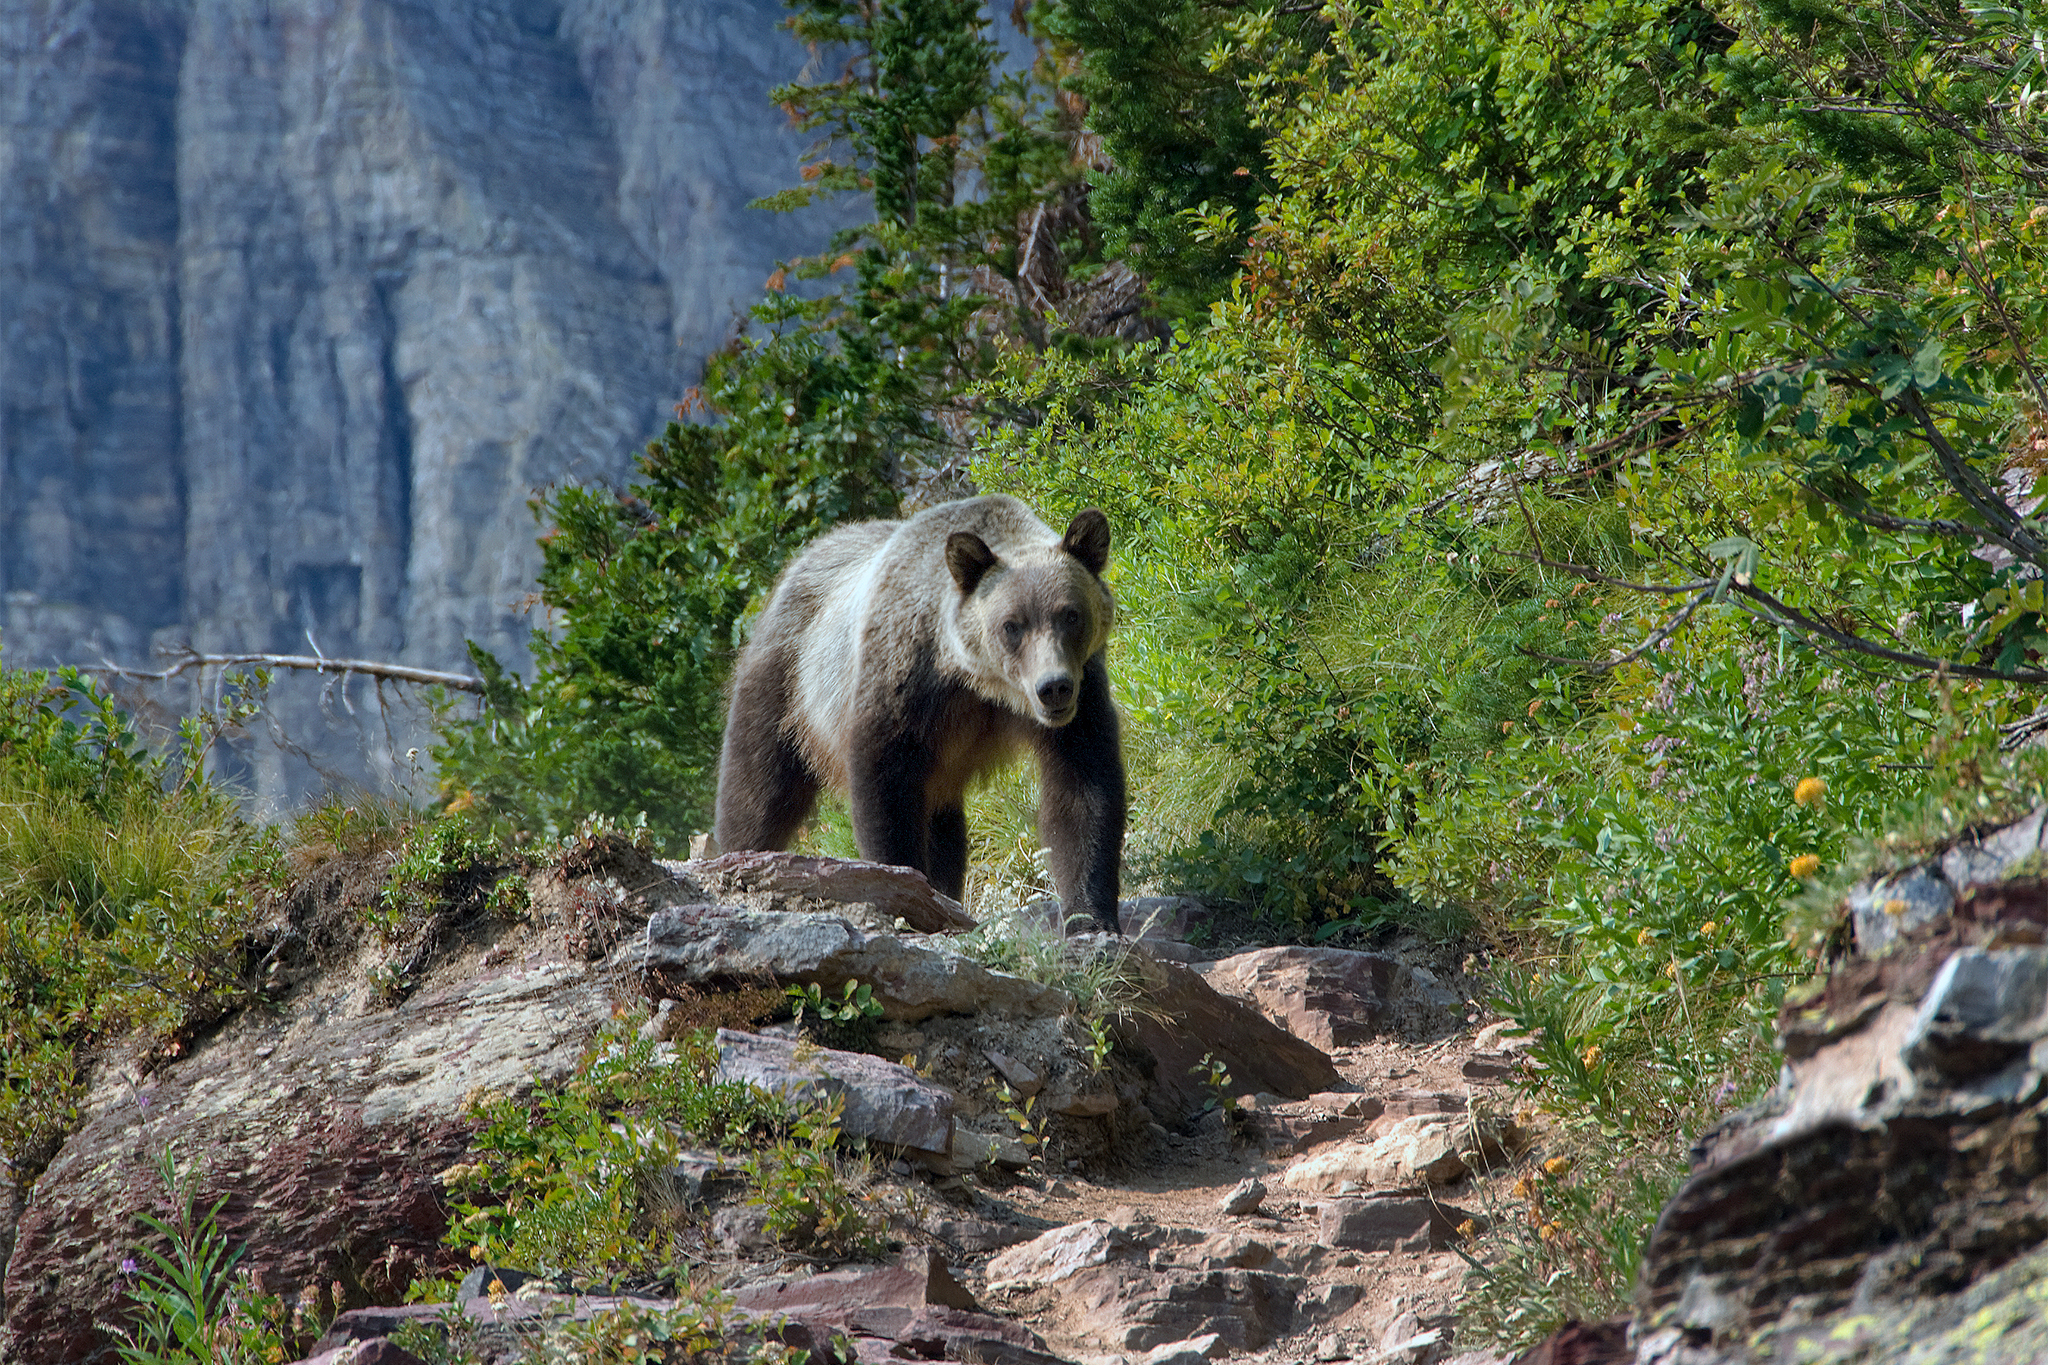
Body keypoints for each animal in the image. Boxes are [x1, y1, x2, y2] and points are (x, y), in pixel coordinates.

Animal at [713, 494, 1126, 931]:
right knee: (758, 783)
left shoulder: (1081, 697)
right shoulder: (901, 682)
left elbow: (1083, 788)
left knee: (944, 827)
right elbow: (885, 788)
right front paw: (900, 887)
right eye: (1012, 625)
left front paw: (1091, 915)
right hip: (790, 680)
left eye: (1071, 614)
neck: (976, 681)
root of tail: (801, 558)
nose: (1053, 687)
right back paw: (740, 853)